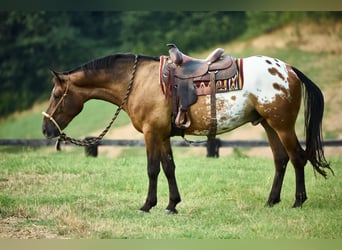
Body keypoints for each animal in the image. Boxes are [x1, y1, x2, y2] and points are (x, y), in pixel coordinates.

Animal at [42, 48, 334, 213]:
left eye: (56, 95)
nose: (45, 129)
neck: (139, 82)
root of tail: (289, 69)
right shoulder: (162, 134)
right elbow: (168, 167)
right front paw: (172, 204)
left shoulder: (151, 133)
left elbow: (152, 169)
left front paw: (147, 205)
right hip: (268, 124)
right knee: (280, 160)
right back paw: (272, 201)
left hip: (282, 125)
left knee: (297, 158)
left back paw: (298, 201)